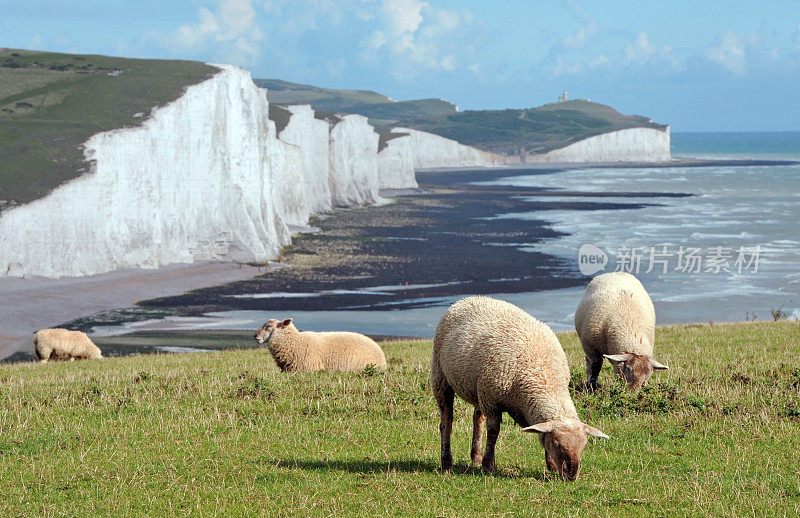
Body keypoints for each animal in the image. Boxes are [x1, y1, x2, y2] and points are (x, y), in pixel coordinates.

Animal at [432, 296, 608, 484]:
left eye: (583, 446)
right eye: (557, 445)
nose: (571, 475)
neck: (542, 377)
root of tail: (468, 298)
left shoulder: (489, 396)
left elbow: (541, 433)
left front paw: (552, 465)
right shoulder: (492, 401)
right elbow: (493, 432)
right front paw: (489, 466)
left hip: (478, 388)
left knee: (477, 418)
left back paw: (476, 456)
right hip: (441, 377)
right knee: (446, 421)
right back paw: (446, 461)